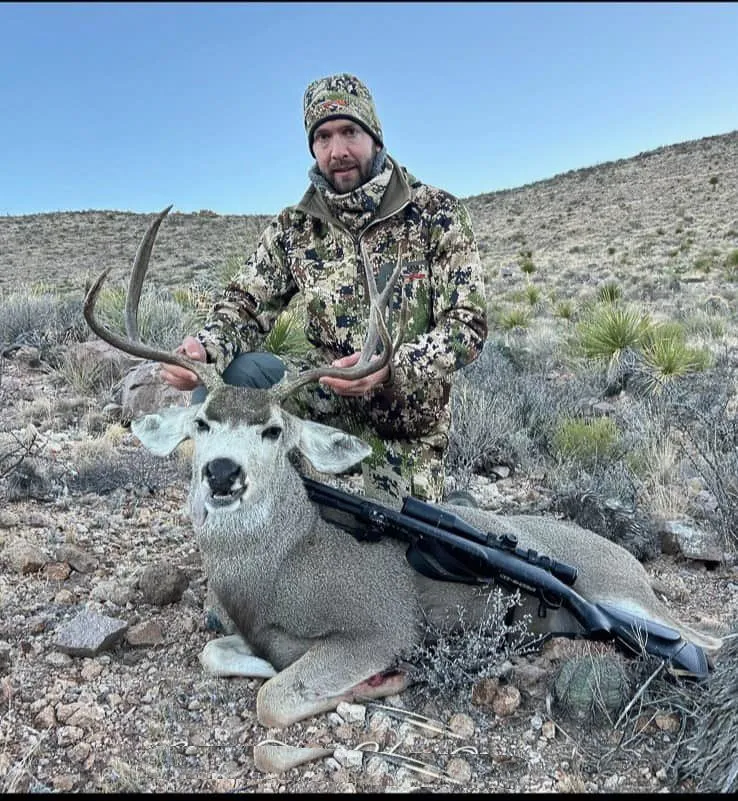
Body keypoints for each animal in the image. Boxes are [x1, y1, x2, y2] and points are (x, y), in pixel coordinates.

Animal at [83, 207, 722, 731]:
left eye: (274, 431)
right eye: (200, 425)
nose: (221, 473)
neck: (282, 564)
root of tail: (630, 561)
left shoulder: (379, 626)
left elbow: (274, 700)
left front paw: (382, 681)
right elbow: (217, 654)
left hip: (626, 597)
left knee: (705, 640)